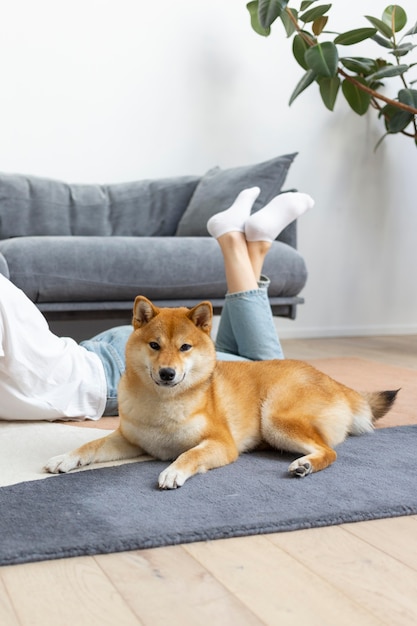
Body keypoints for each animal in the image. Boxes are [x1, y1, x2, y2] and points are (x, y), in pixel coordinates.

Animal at [44, 294, 396, 486]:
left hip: (275, 418)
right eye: (155, 345)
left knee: (330, 451)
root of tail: (335, 382)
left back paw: (305, 464)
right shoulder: (130, 440)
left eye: (184, 347)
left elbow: (190, 453)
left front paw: (174, 471)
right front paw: (64, 458)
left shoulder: (221, 443)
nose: (168, 373)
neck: (163, 406)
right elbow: (90, 445)